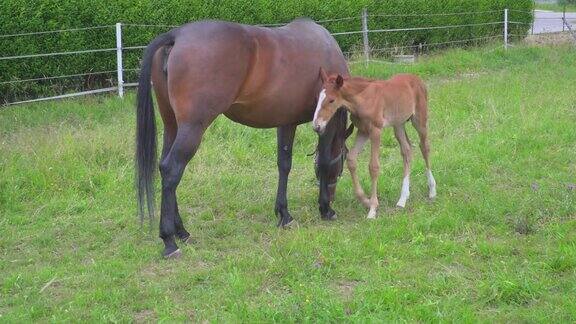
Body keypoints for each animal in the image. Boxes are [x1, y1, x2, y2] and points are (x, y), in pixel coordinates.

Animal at [137, 20, 348, 258]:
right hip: (192, 129)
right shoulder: (326, 122)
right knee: (172, 170)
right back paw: (169, 241)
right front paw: (325, 209)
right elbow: (324, 161)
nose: (333, 196)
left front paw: (284, 214)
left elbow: (284, 164)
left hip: (172, 126)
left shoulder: (286, 121)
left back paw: (181, 231)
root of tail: (176, 35)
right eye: (341, 165)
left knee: (164, 167)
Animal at [312, 69, 434, 219]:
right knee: (407, 151)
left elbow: (374, 167)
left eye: (331, 100)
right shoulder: (363, 131)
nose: (316, 126)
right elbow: (351, 159)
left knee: (425, 148)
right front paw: (366, 201)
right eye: (318, 98)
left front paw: (373, 209)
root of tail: (417, 79)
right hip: (398, 124)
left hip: (420, 120)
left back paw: (432, 190)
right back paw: (403, 199)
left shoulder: (376, 131)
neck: (363, 99)